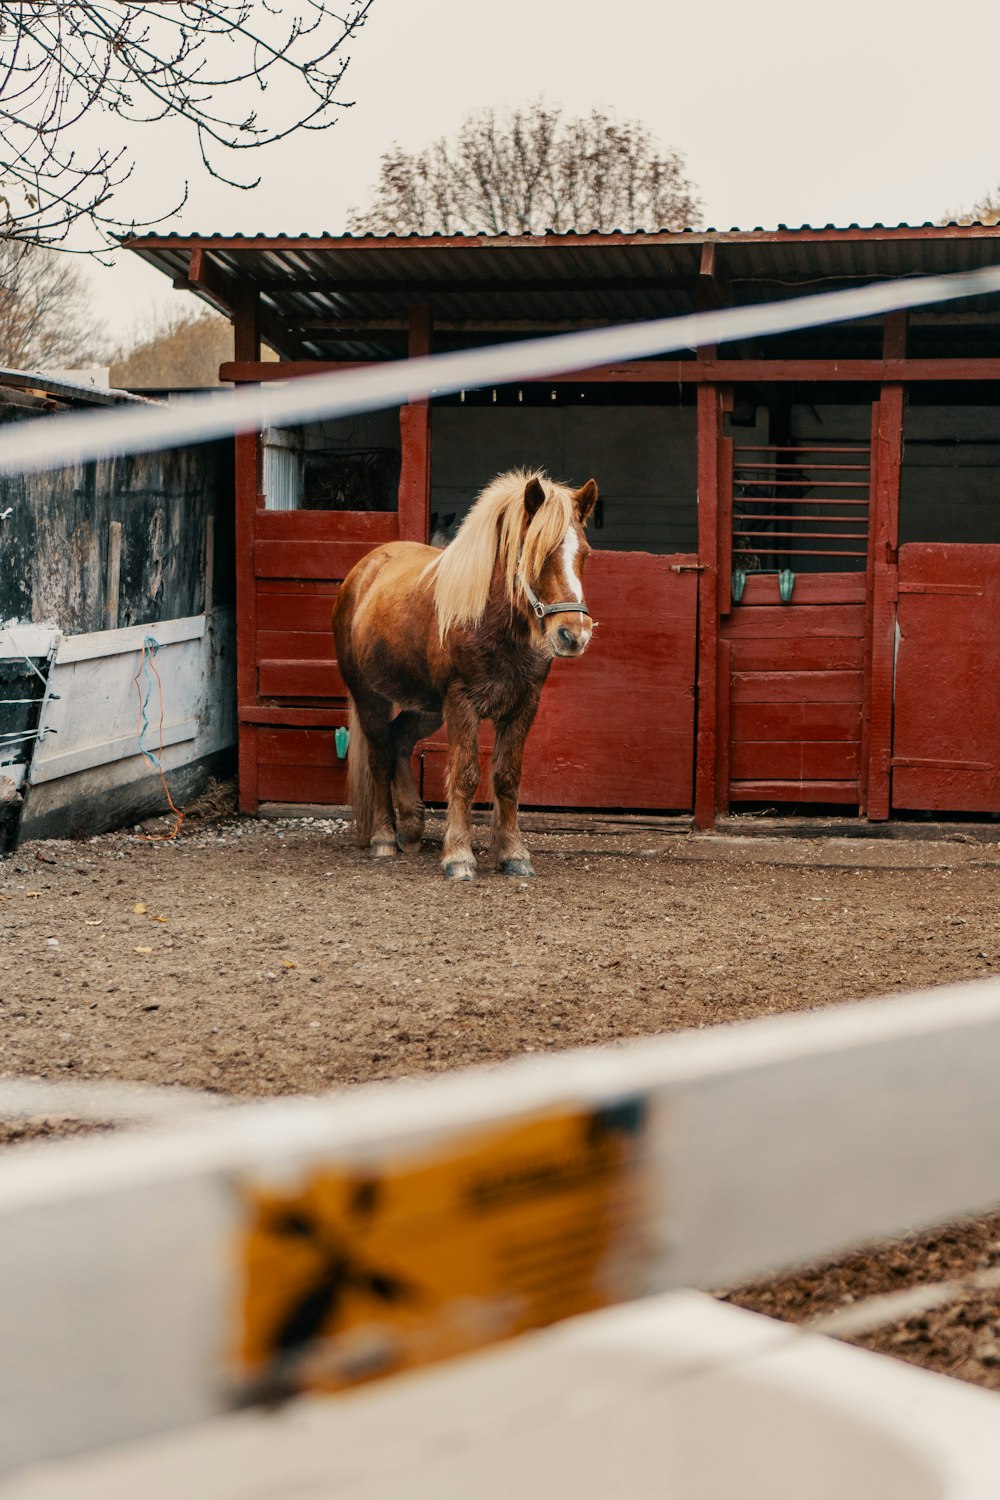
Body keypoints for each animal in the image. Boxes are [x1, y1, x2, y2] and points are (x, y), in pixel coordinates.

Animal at [332, 471, 599, 876]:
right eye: (537, 554)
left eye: (583, 554)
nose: (574, 635)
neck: (494, 625)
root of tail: (362, 572)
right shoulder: (461, 704)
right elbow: (465, 774)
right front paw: (458, 856)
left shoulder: (523, 706)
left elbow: (507, 777)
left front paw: (513, 853)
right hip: (370, 699)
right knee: (379, 756)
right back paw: (384, 838)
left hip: (427, 708)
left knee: (399, 740)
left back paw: (411, 828)